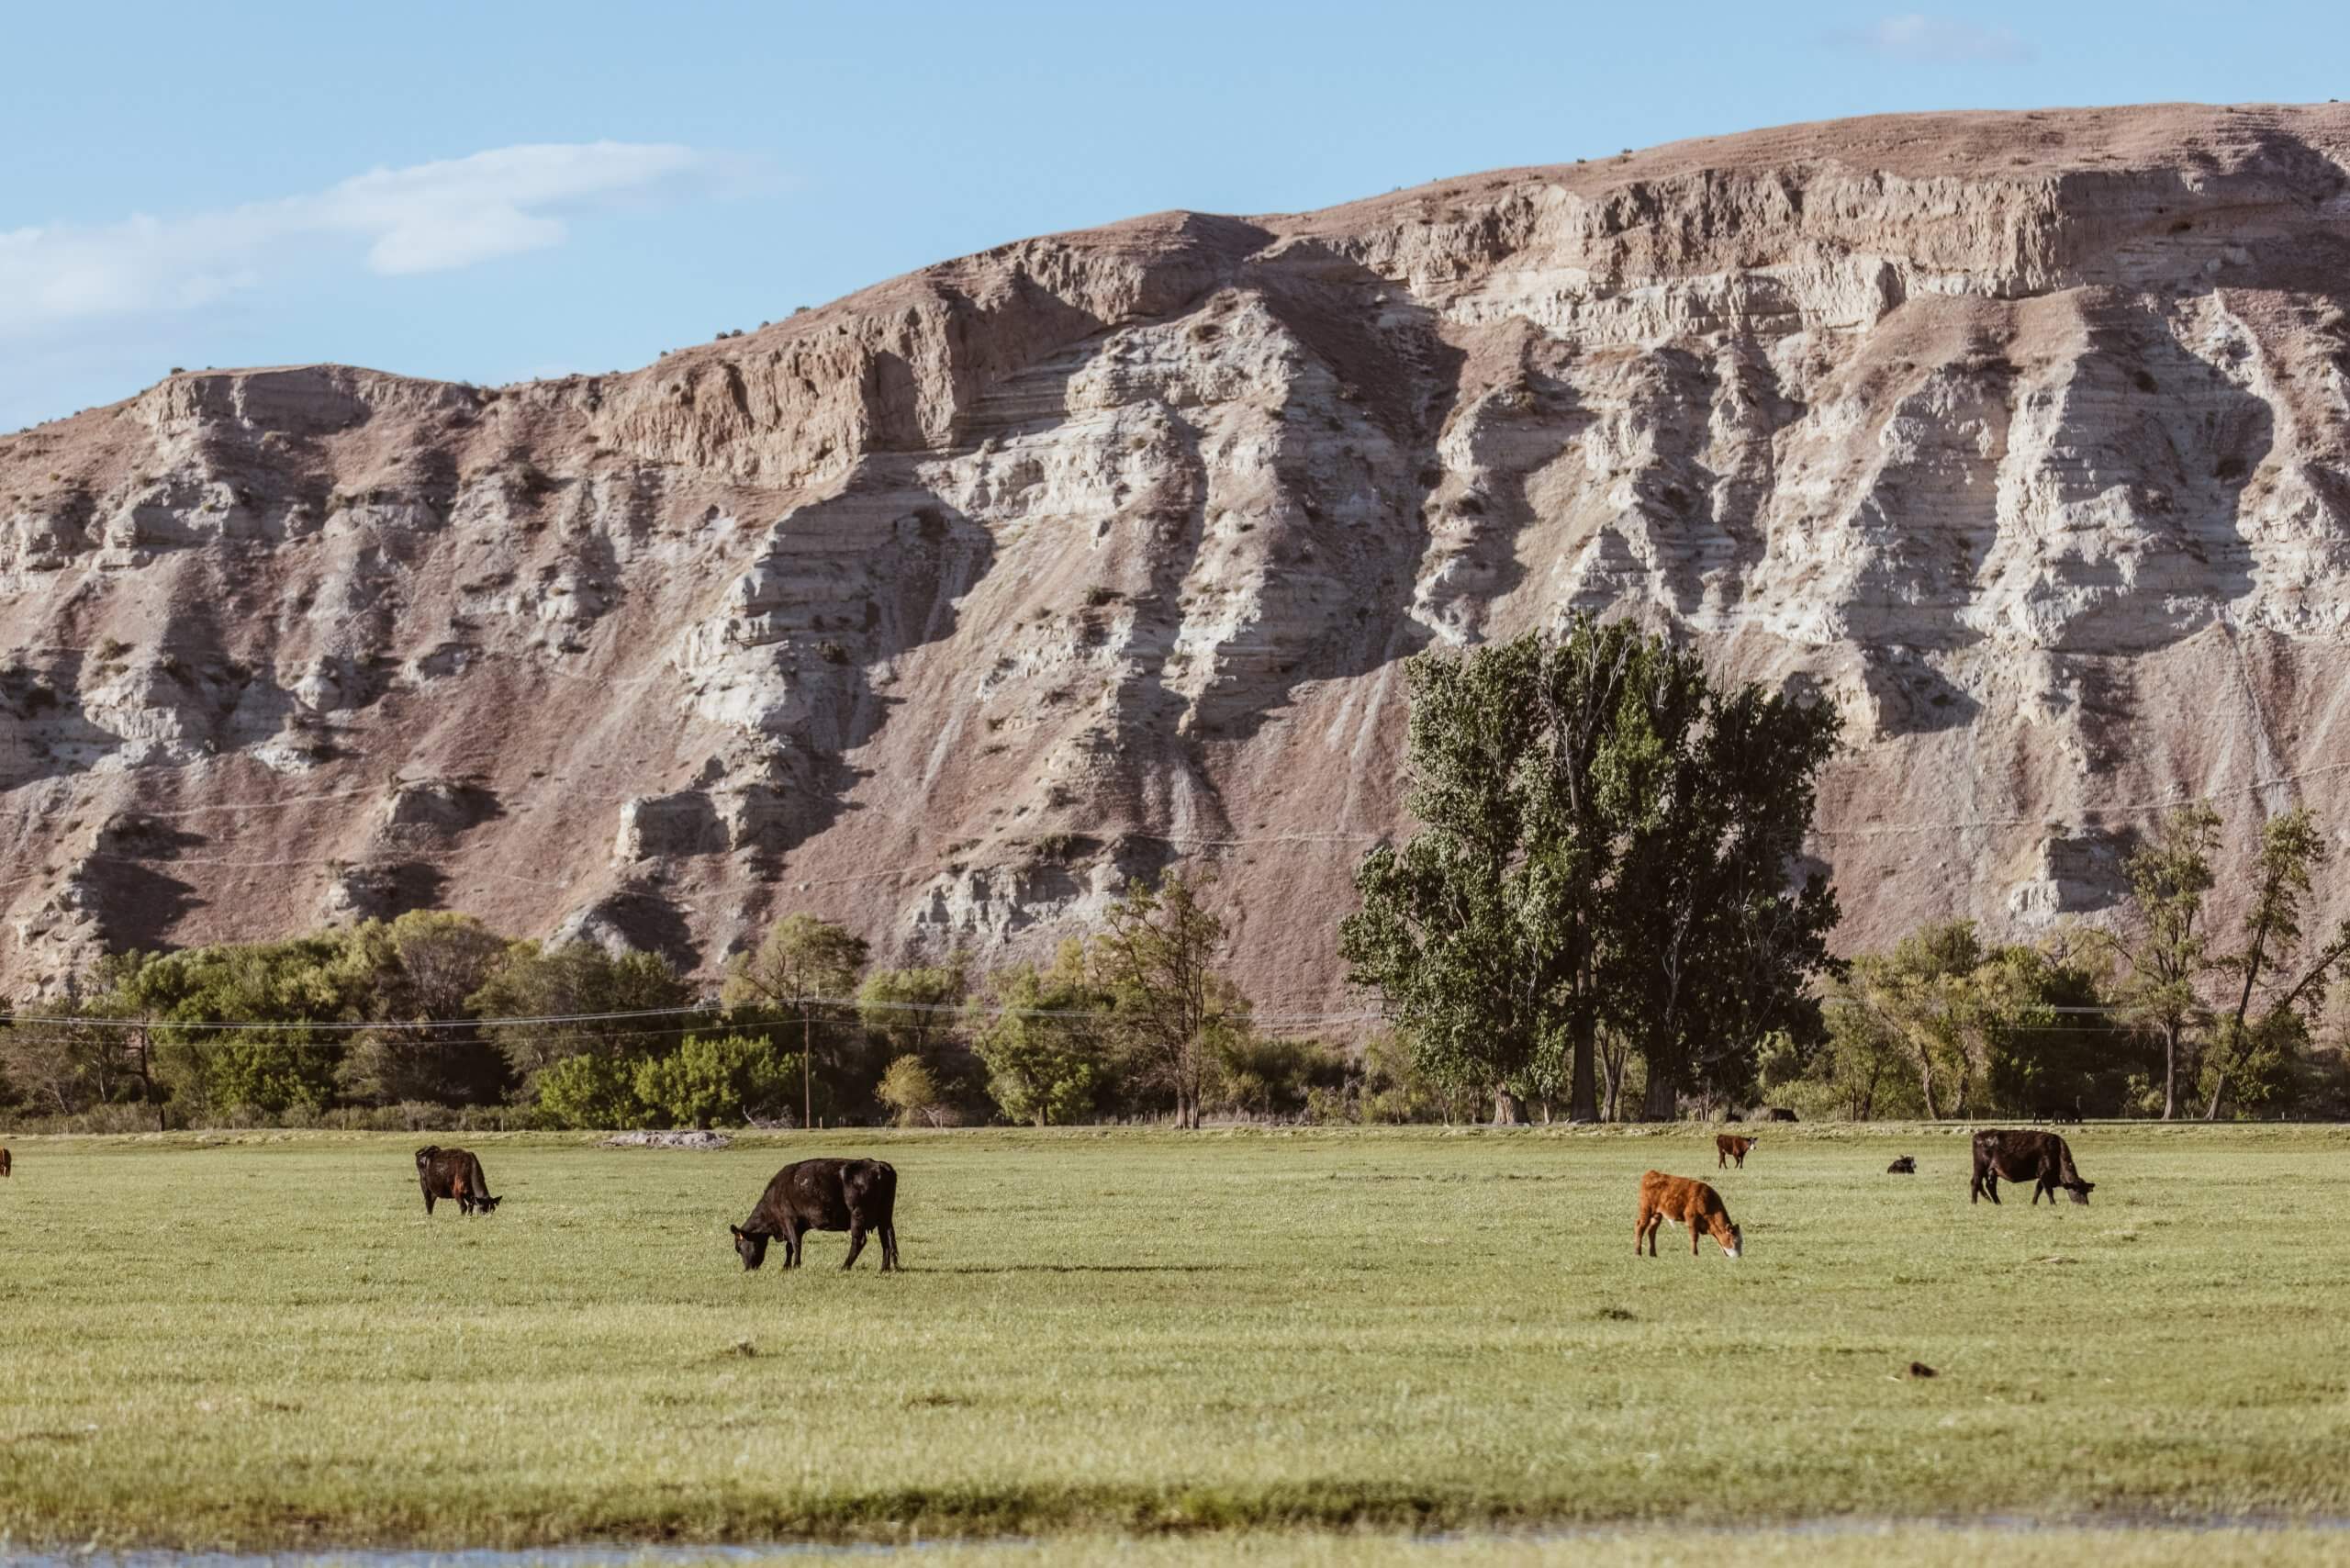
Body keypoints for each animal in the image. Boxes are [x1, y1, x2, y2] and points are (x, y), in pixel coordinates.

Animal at [733, 1151, 897, 1279]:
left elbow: (795, 1244)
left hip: (858, 1214)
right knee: (886, 1241)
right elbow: (789, 1247)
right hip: (884, 1216)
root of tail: (878, 1164)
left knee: (859, 1241)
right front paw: (786, 1266)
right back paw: (884, 1269)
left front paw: (795, 1266)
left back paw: (844, 1267)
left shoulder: (790, 1220)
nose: (747, 1269)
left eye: (739, 1247)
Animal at [1964, 1133, 2096, 1213]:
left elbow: (2038, 1189)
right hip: (1980, 1167)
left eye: (2086, 1191)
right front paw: (2053, 1204)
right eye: (2078, 1191)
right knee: (1975, 1183)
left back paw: (1998, 1203)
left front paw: (2033, 1203)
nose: (2085, 1204)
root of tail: (1978, 1135)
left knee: (1990, 1186)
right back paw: (1974, 1203)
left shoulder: (2043, 1177)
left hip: (1992, 1171)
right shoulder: (2044, 1173)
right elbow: (2048, 1191)